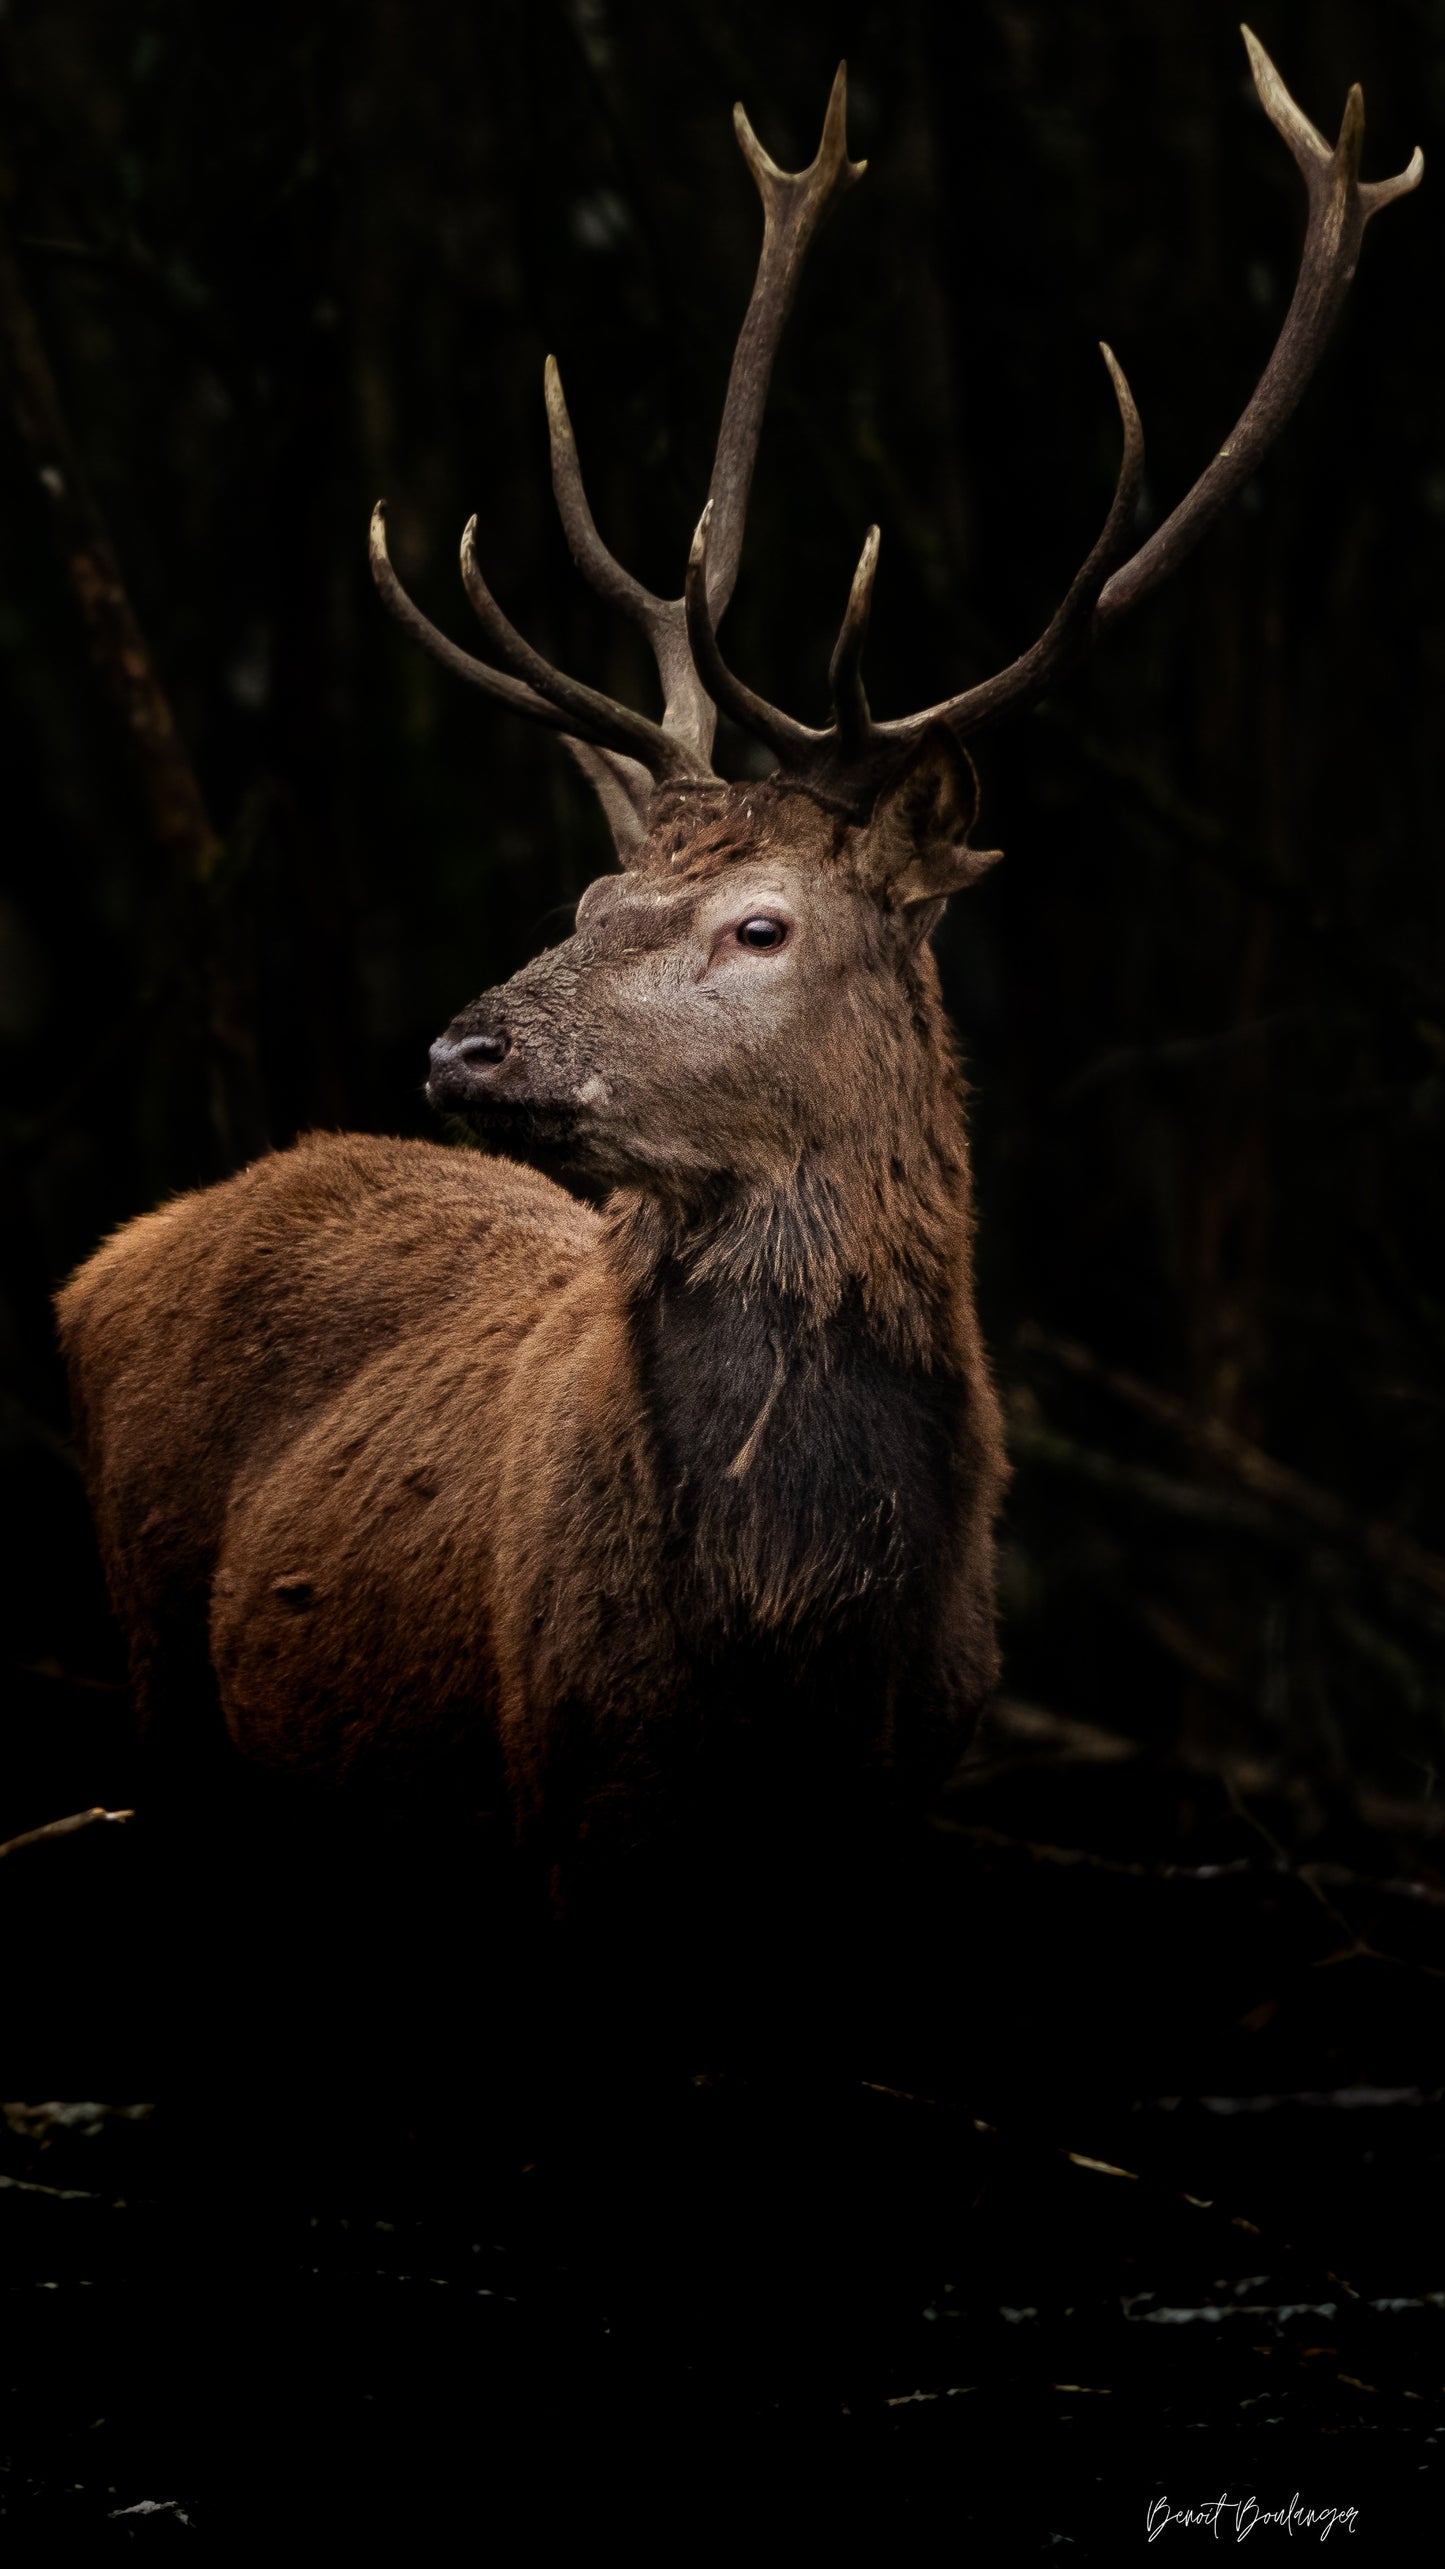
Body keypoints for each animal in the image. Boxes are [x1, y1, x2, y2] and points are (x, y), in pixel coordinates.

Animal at [56, 38, 1420, 1907]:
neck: (790, 1658)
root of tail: (106, 1260)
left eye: (759, 923)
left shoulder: (908, 1795)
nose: (465, 1049)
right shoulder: (572, 1788)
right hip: (165, 1715)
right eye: (595, 883)